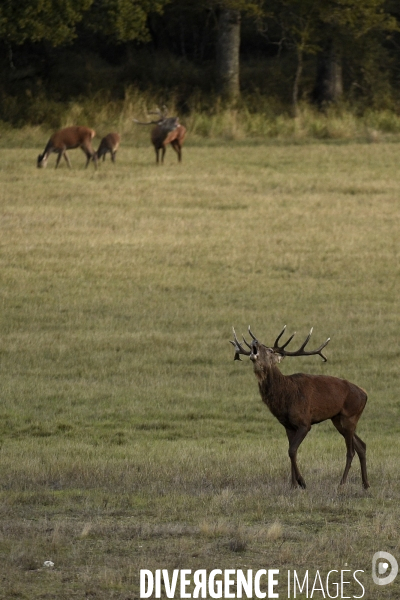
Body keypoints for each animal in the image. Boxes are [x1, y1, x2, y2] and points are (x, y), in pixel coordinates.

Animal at [230, 326, 370, 490]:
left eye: (270, 350)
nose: (255, 341)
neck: (285, 398)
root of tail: (365, 394)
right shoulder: (288, 425)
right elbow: (291, 451)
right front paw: (293, 485)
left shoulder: (304, 422)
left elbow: (291, 451)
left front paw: (302, 482)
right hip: (338, 419)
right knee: (361, 445)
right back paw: (365, 484)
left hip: (350, 416)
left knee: (351, 451)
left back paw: (341, 484)